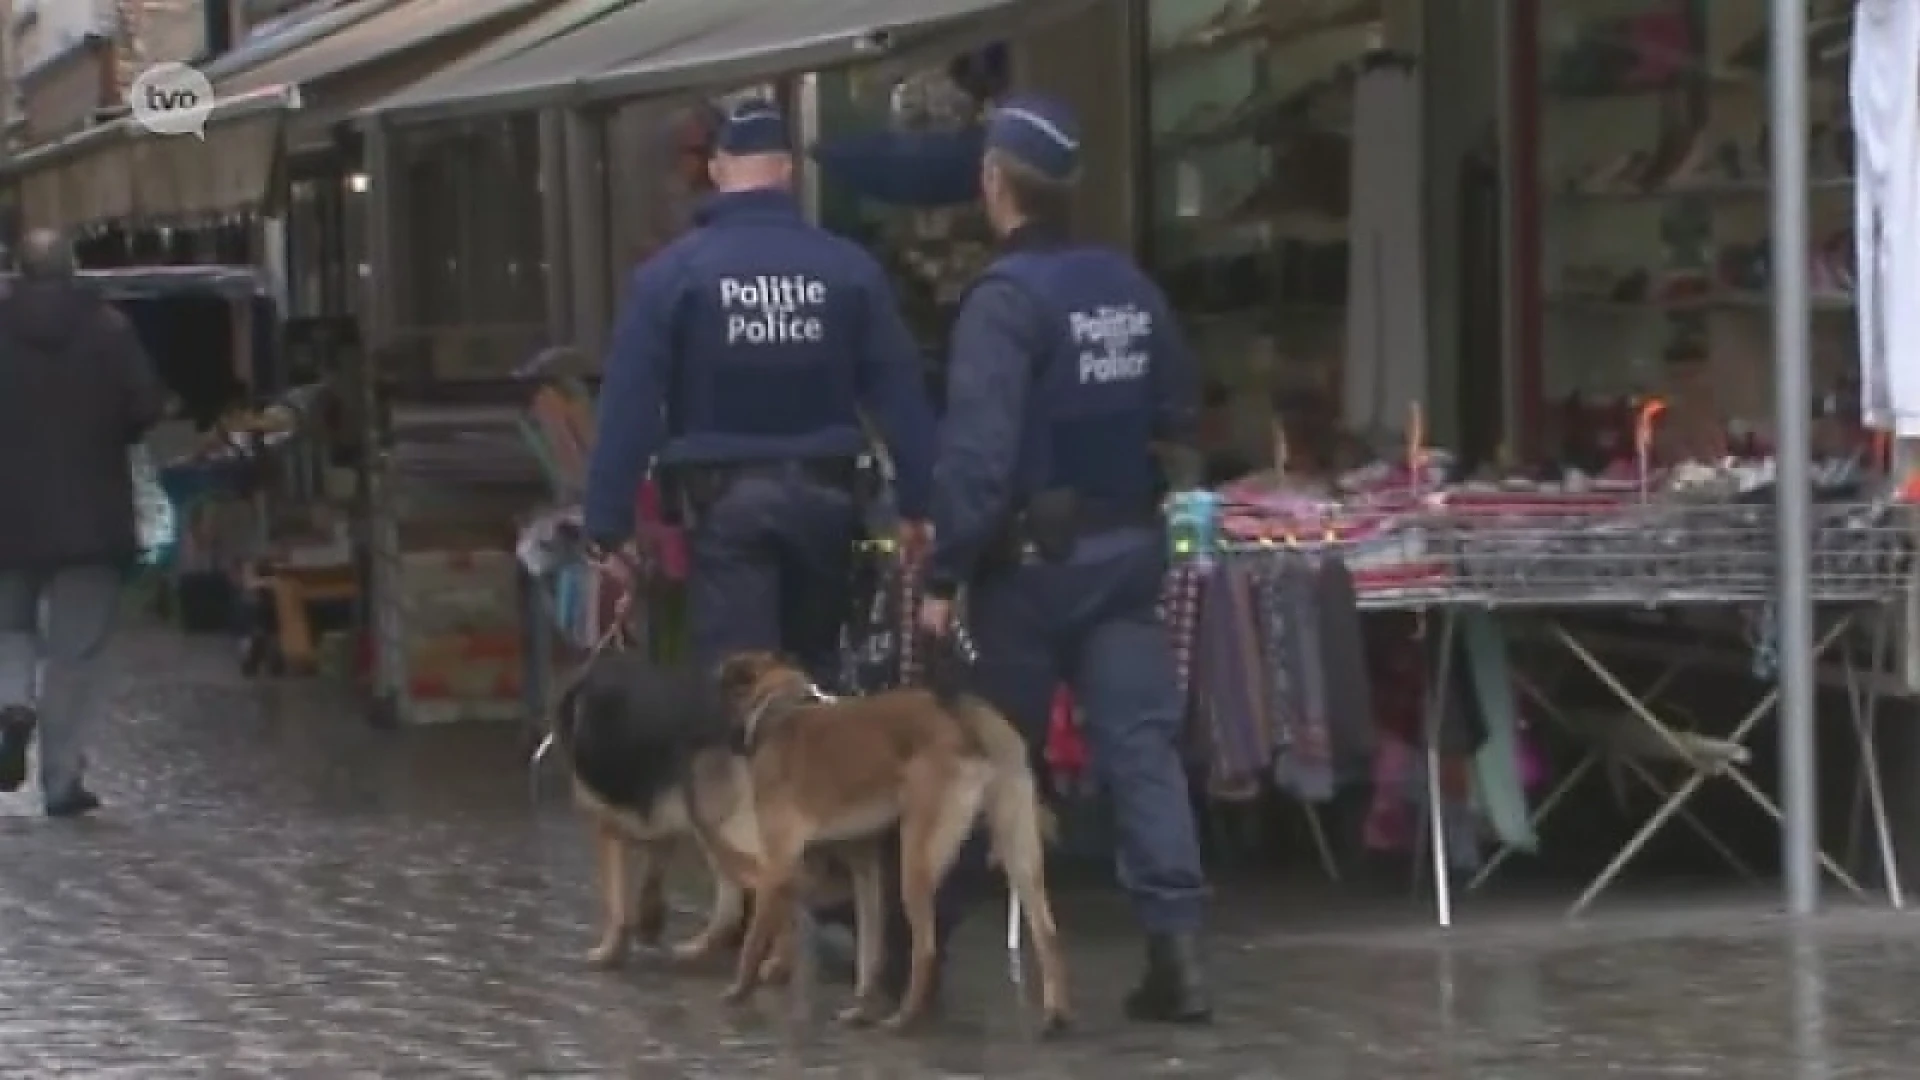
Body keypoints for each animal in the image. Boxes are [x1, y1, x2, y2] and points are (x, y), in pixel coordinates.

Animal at [706, 653, 1075, 1030]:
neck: (781, 707)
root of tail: (962, 713)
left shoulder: (779, 863)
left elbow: (755, 939)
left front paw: (739, 989)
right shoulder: (862, 866)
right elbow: (869, 947)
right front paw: (860, 1006)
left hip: (917, 859)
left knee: (925, 947)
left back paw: (904, 1018)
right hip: (1019, 850)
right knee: (1048, 933)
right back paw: (1056, 1015)